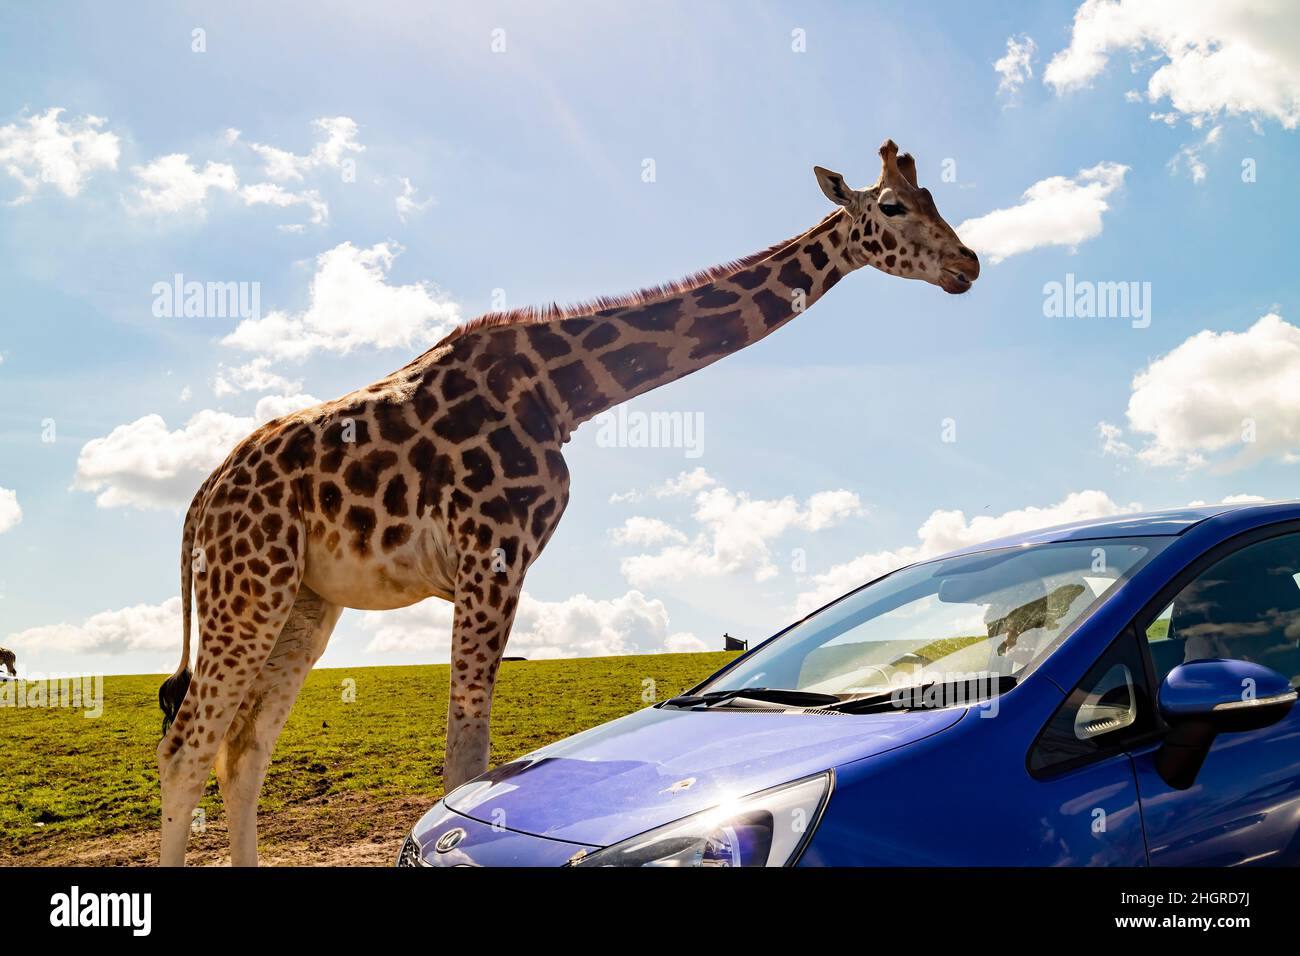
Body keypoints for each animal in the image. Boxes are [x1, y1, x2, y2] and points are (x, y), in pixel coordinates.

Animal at [157, 140, 977, 868]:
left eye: (935, 198)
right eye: (894, 205)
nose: (967, 264)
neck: (567, 393)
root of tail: (199, 502)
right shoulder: (493, 555)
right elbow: (465, 764)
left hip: (303, 599)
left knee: (243, 750)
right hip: (247, 584)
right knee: (186, 745)